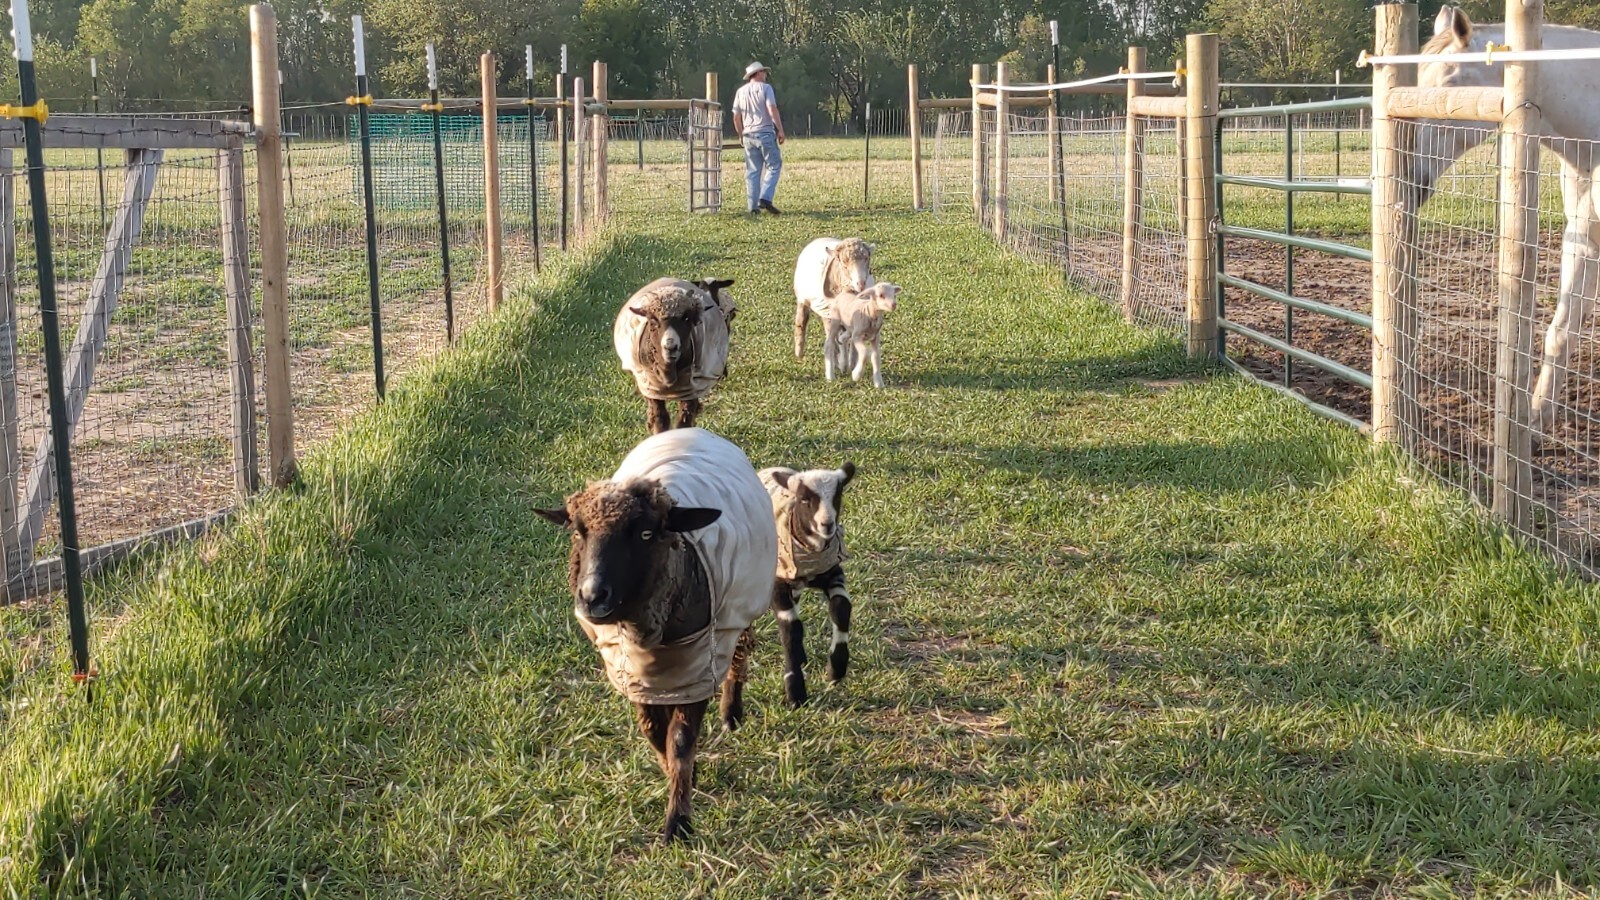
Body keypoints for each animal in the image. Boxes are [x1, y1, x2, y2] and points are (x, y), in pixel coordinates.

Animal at [535, 427, 779, 842]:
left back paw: (731, 712)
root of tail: (688, 429)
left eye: (647, 533)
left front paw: (678, 822)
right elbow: (654, 732)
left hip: (740, 609)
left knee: (741, 651)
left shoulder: (698, 668)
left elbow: (680, 741)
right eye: (578, 532)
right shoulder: (635, 673)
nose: (592, 597)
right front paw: (683, 778)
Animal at [614, 277, 735, 434]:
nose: (670, 346)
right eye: (653, 321)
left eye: (687, 319)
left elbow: (684, 420)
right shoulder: (651, 389)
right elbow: (659, 418)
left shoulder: (691, 388)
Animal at [758, 461, 857, 708]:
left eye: (838, 495)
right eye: (804, 499)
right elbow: (791, 629)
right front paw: (795, 691)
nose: (827, 524)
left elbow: (841, 608)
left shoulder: (833, 573)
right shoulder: (778, 584)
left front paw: (836, 669)